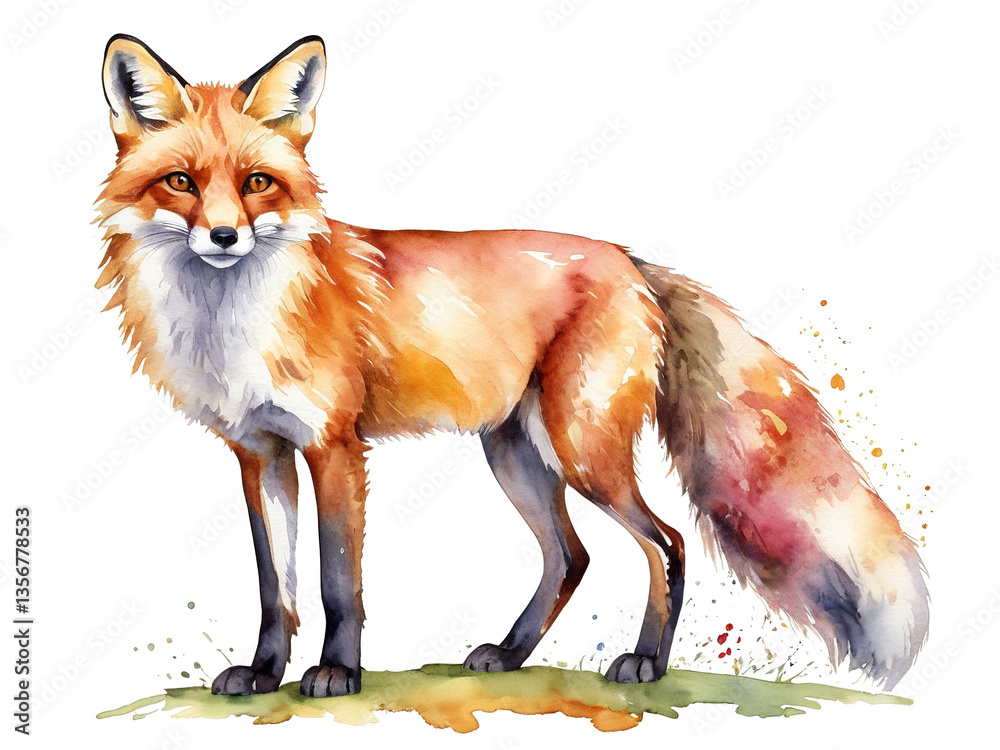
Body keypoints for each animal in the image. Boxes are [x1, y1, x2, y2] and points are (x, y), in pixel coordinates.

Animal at [97, 34, 928, 698]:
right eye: (181, 182)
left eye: (257, 183)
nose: (226, 237)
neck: (234, 323)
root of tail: (630, 259)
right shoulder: (259, 453)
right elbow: (278, 587)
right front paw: (264, 673)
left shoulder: (334, 446)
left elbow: (337, 583)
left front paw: (336, 673)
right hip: (516, 454)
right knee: (571, 557)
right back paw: (512, 652)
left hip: (582, 450)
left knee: (666, 543)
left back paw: (646, 663)